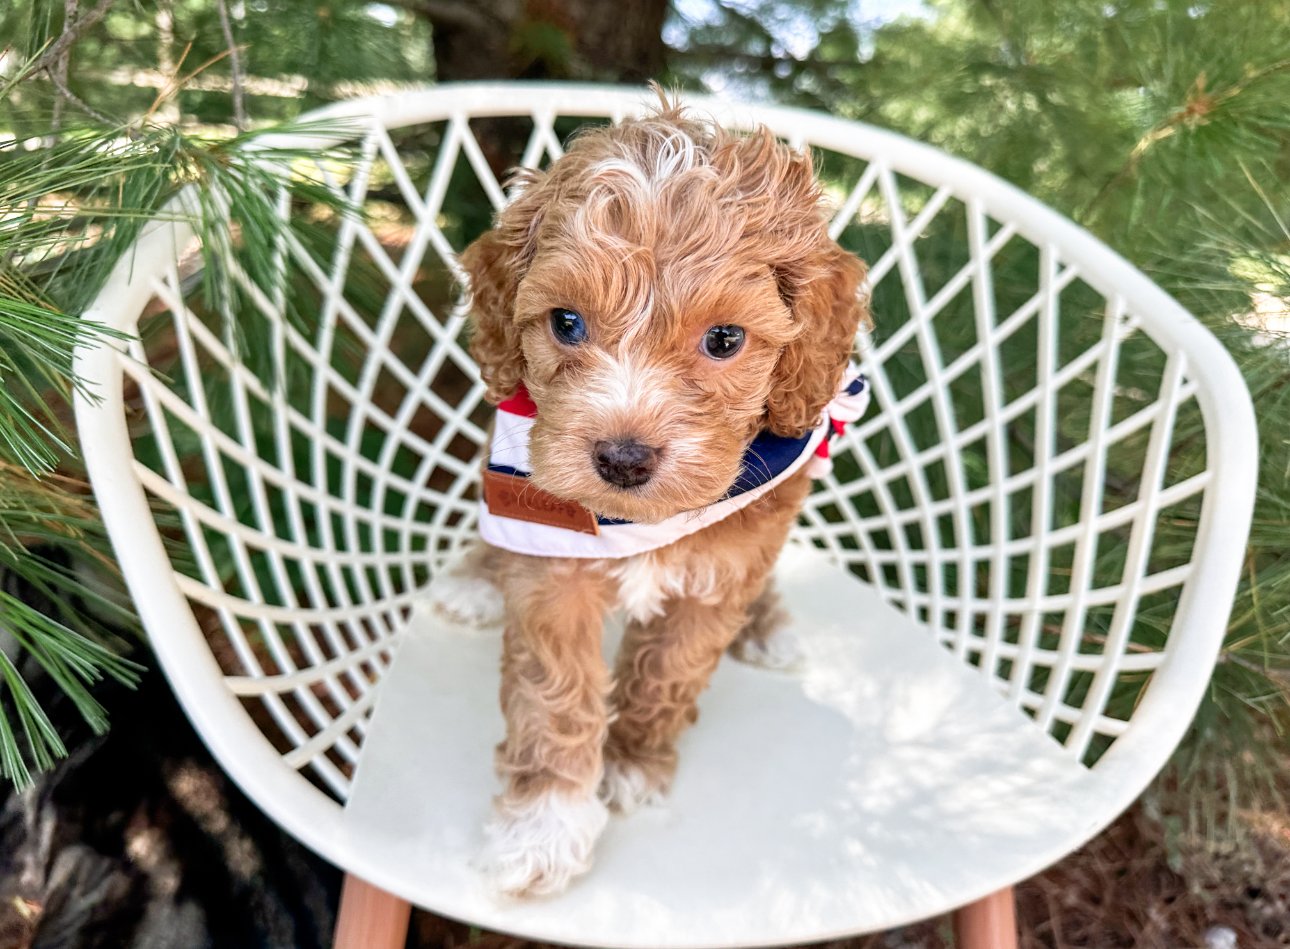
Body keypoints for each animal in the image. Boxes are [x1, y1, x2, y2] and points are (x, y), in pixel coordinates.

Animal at [438, 94, 872, 897]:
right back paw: (475, 581)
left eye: (725, 339)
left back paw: (770, 625)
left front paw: (634, 762)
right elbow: (555, 695)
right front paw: (541, 827)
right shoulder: (552, 568)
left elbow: (669, 671)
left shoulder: (720, 574)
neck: (638, 522)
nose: (623, 458)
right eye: (566, 322)